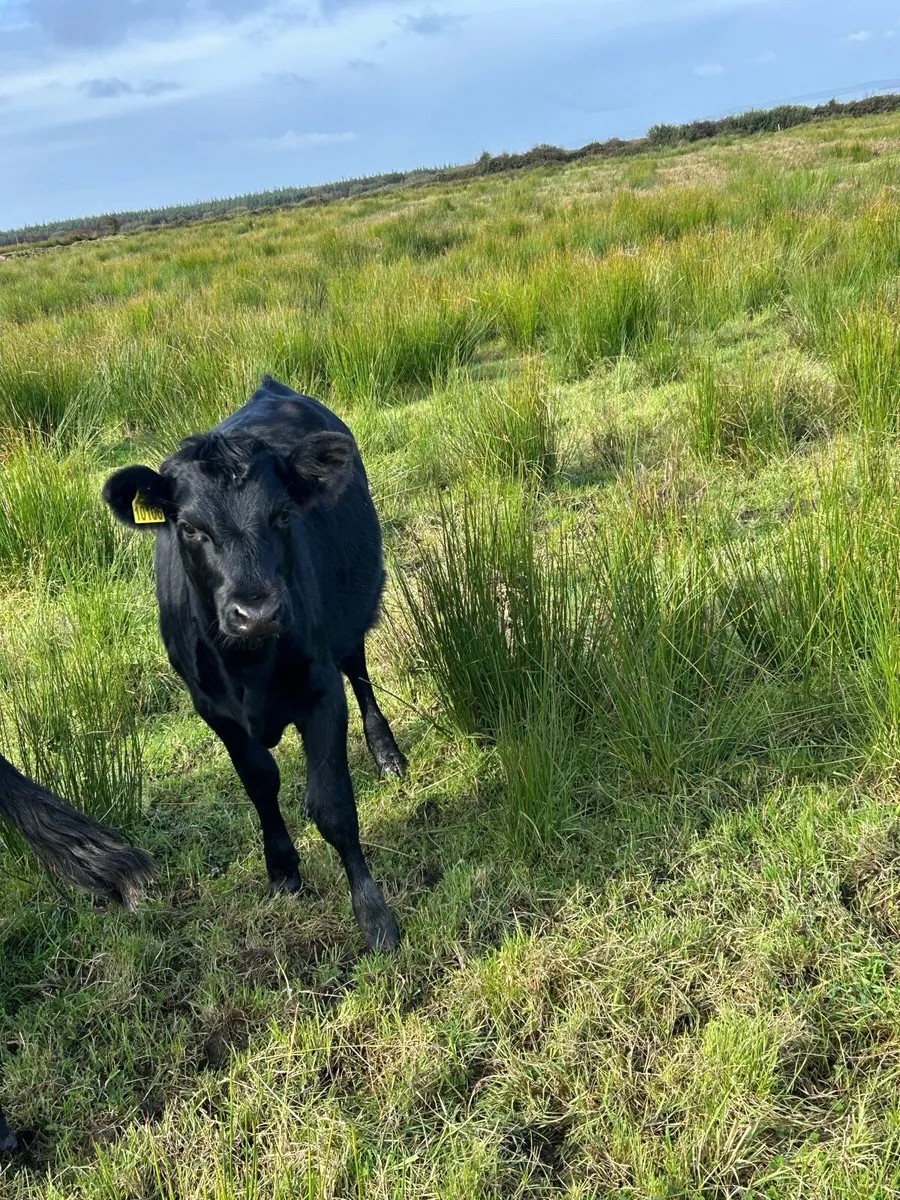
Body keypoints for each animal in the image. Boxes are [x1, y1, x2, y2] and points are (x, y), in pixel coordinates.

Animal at [102, 377, 406, 953]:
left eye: (282, 515)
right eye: (190, 528)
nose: (257, 612)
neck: (250, 667)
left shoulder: (321, 691)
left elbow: (333, 806)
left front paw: (374, 915)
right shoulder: (214, 712)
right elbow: (261, 784)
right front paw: (282, 868)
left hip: (351, 616)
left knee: (360, 673)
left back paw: (387, 753)